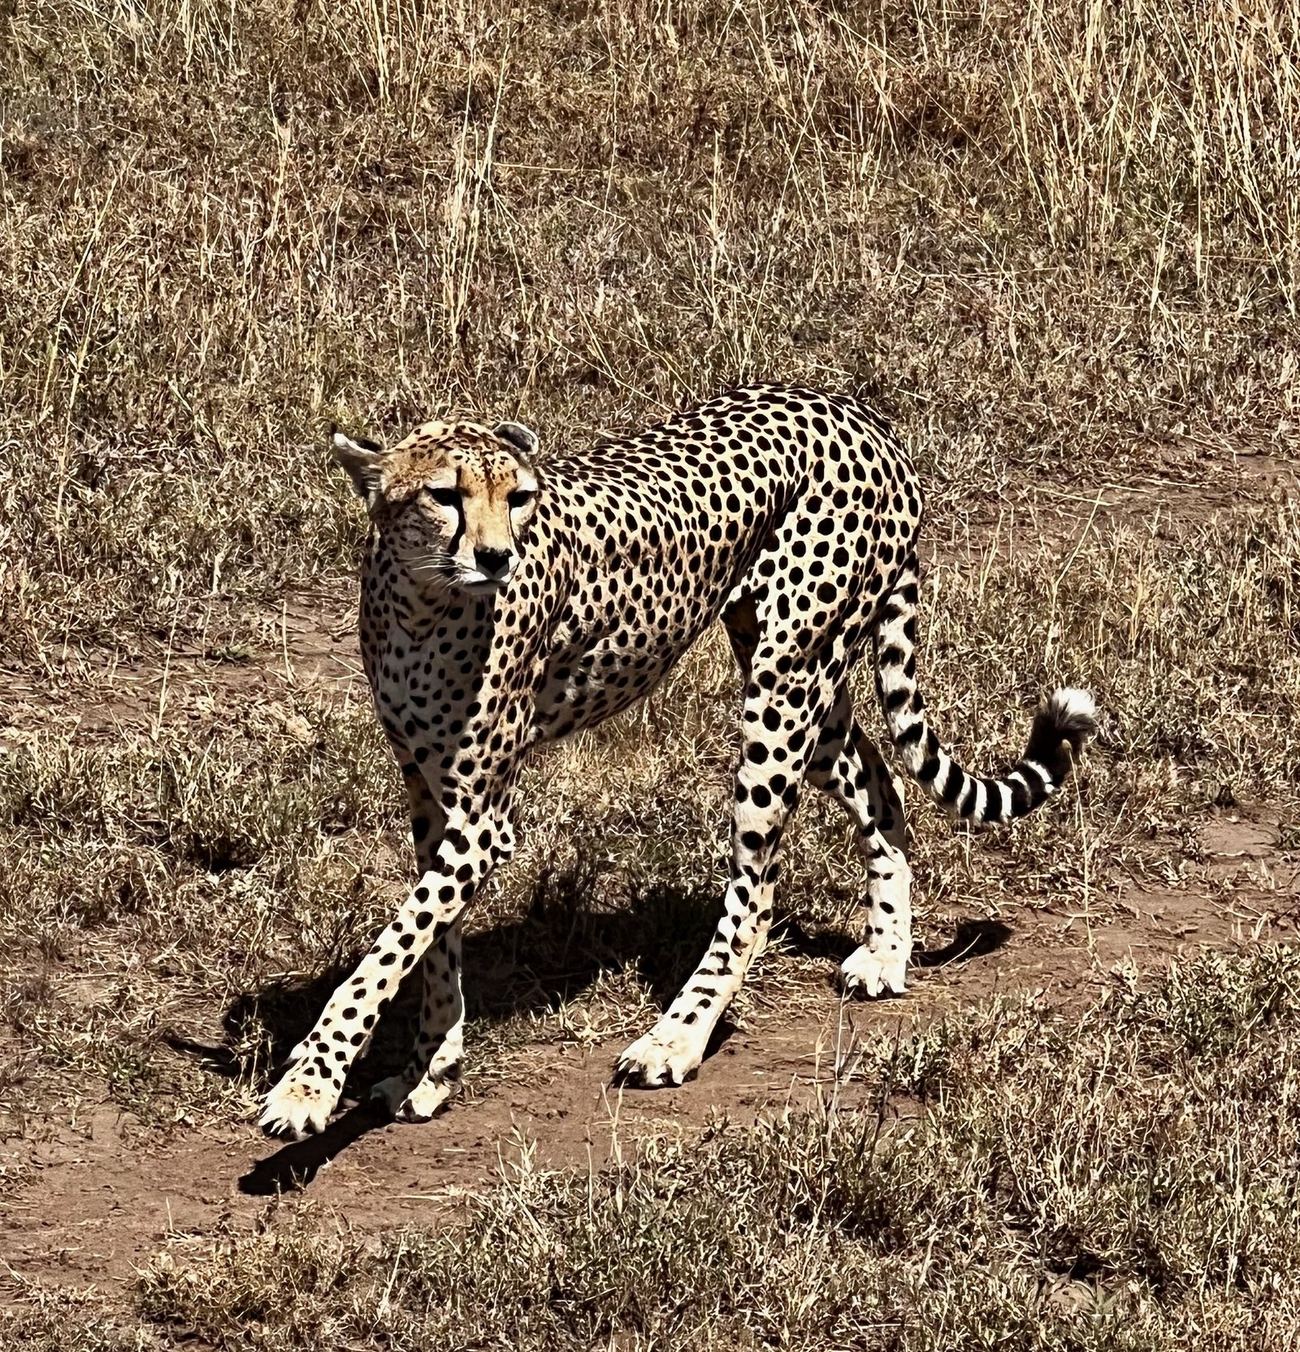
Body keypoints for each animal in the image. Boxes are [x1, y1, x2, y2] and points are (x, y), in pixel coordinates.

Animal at [259, 381, 1096, 1137]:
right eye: (444, 495)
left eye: (520, 497)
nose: (496, 558)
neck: (423, 602)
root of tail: (852, 409)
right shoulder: (432, 796)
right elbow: (431, 945)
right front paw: (428, 1068)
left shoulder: (484, 821)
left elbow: (387, 953)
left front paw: (309, 1085)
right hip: (804, 684)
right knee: (879, 783)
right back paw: (888, 954)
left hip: (784, 690)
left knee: (756, 891)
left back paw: (678, 1037)